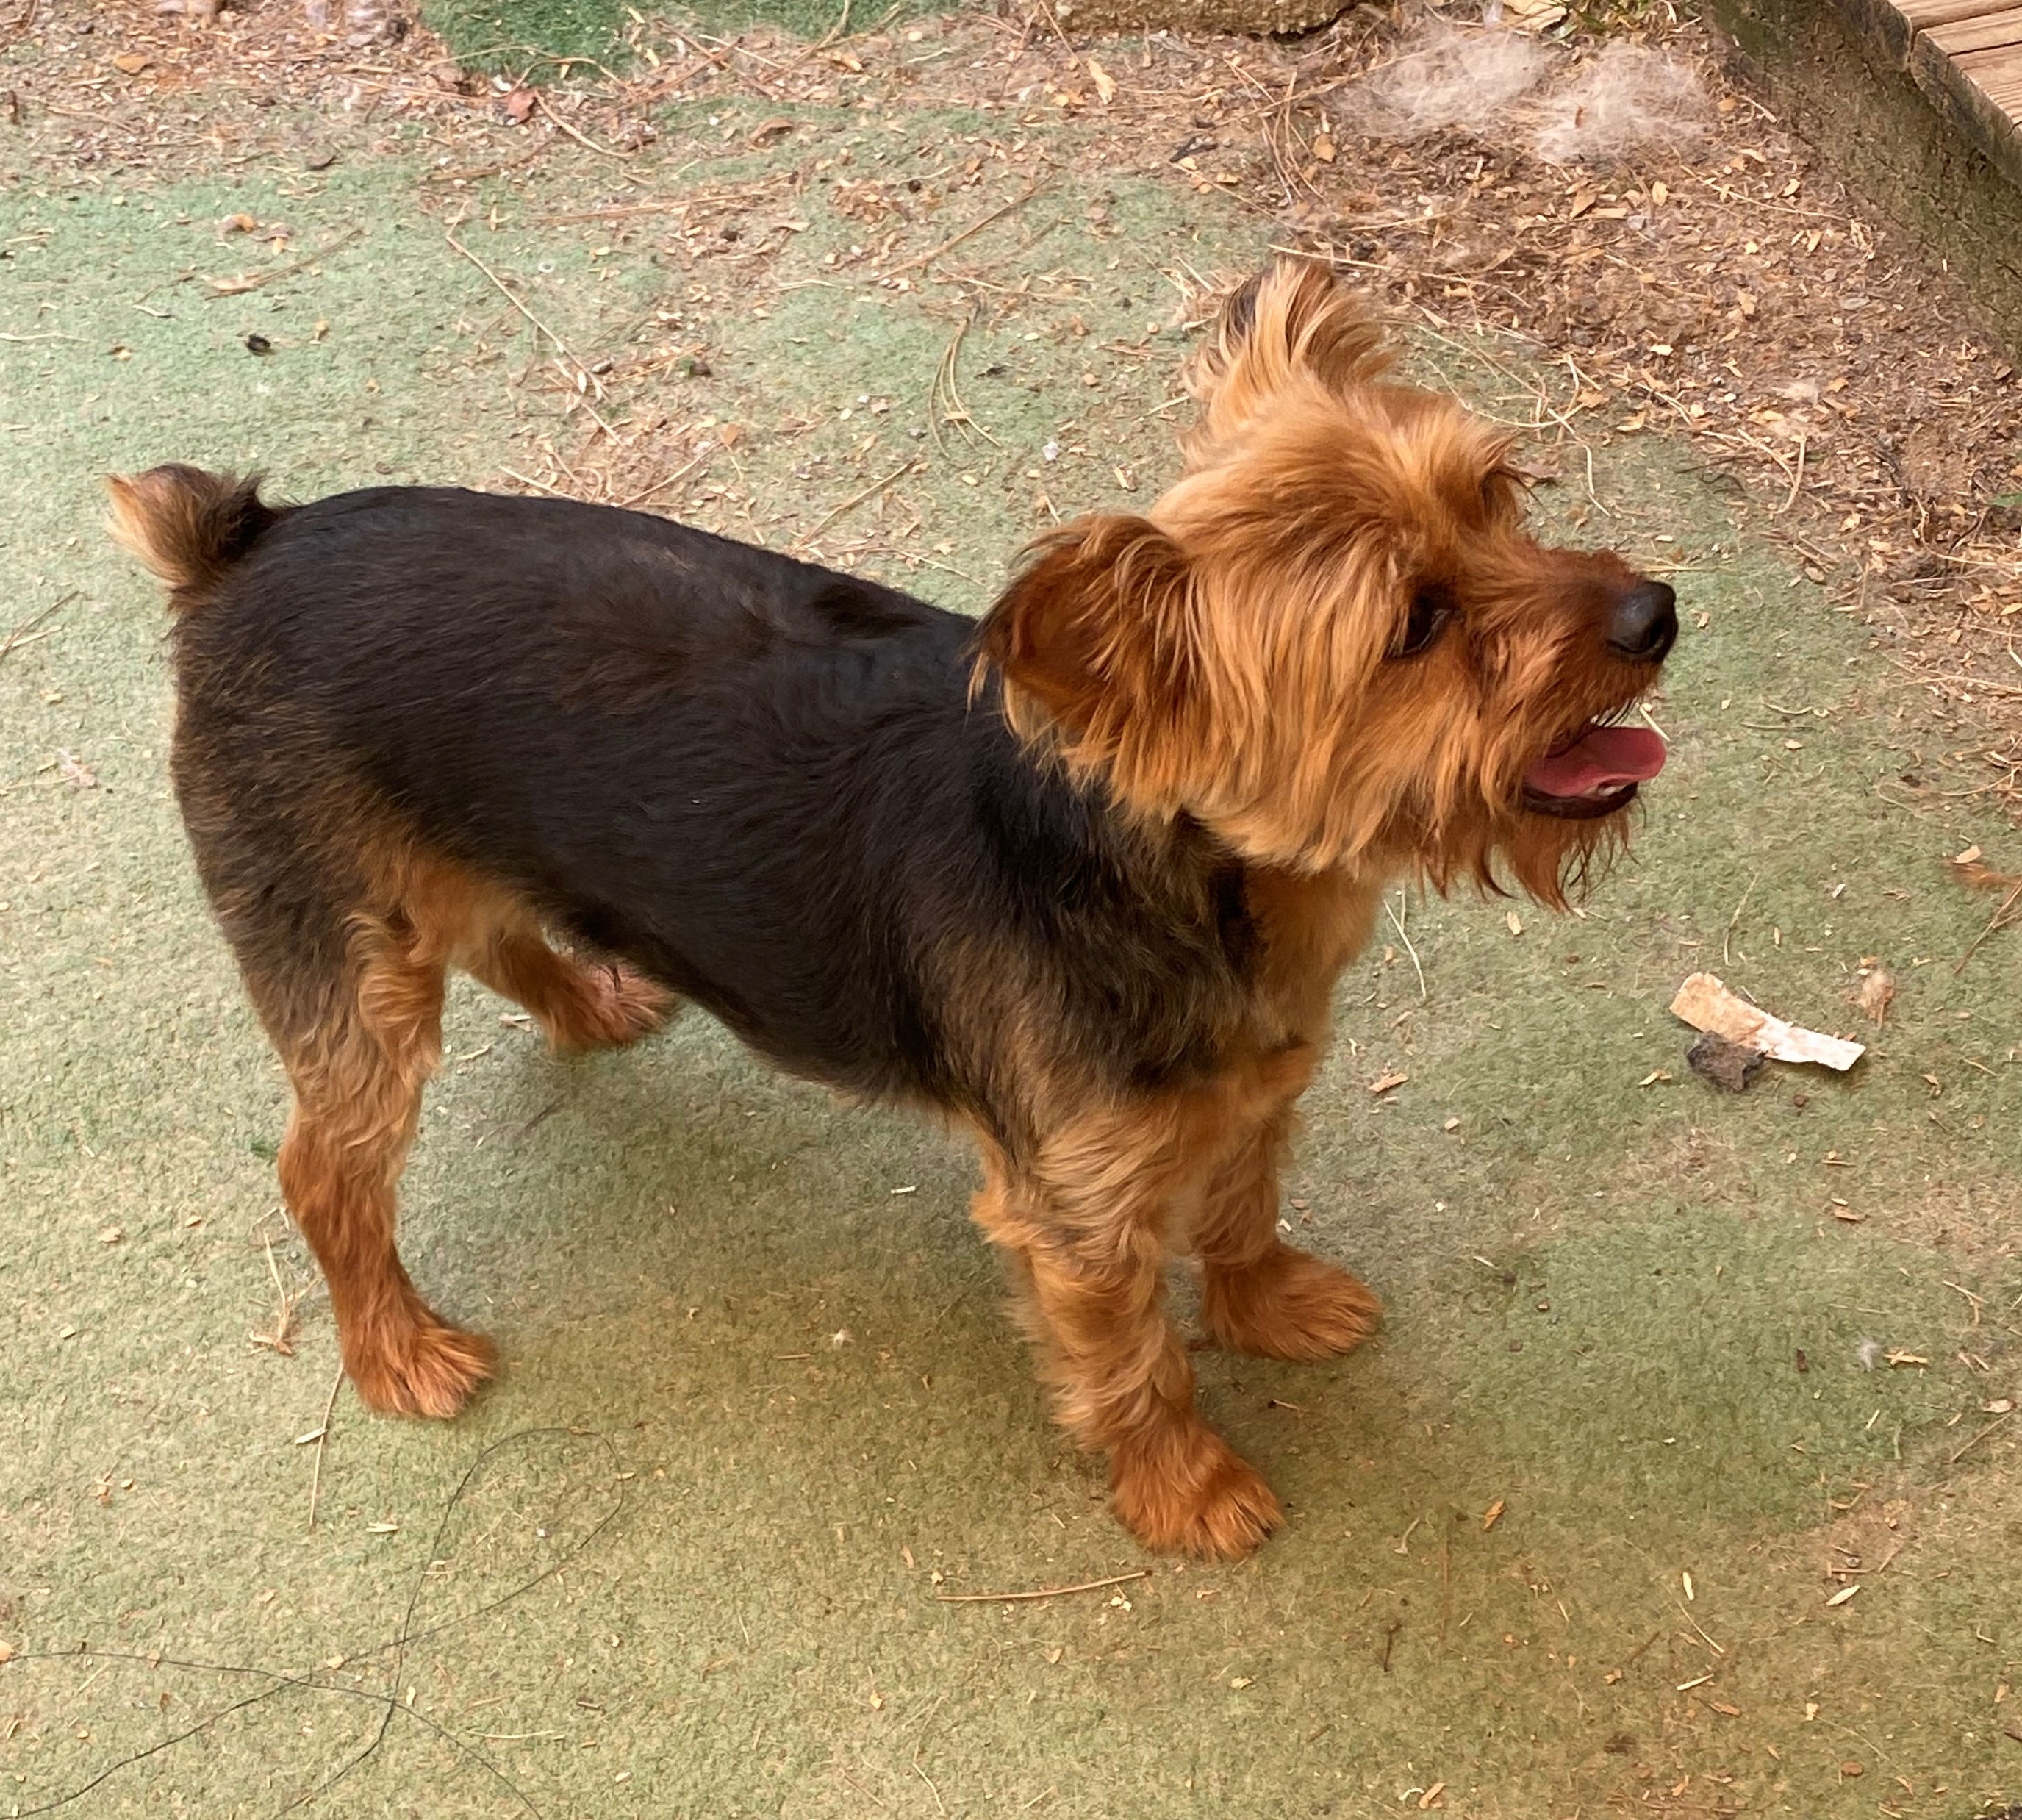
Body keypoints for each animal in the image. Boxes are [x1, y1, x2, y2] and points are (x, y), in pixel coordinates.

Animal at [107, 262, 1674, 1552]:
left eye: (1496, 498)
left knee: (497, 927)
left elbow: (1241, 1205)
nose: (1655, 613)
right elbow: (1134, 1361)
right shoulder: (1076, 1214)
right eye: (1416, 626)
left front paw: (1272, 1302)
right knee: (324, 1168)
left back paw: (593, 1000)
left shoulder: (1248, 1094)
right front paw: (1186, 1488)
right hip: (343, 958)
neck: (1180, 868)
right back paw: (395, 1349)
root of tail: (245, 547)